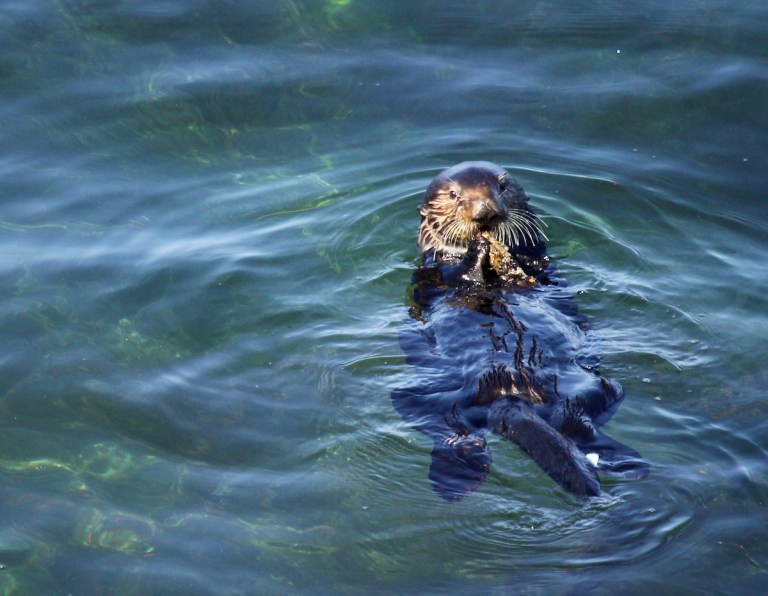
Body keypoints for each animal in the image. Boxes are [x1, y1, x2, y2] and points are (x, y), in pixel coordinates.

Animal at [392, 161, 648, 499]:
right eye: (453, 195)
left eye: (501, 187)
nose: (485, 212)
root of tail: (511, 391)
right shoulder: (434, 273)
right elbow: (457, 277)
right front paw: (477, 250)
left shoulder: (540, 266)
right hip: (422, 400)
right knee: (455, 431)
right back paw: (455, 479)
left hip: (592, 389)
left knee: (577, 424)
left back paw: (625, 463)